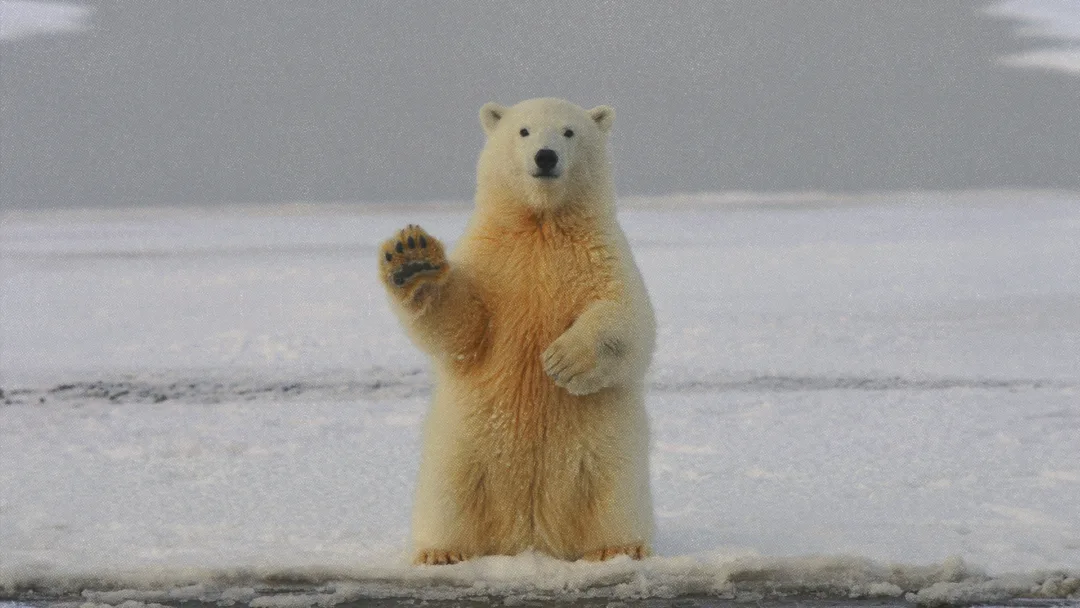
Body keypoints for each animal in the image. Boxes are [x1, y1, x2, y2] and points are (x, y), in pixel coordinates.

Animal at [380, 96, 656, 565]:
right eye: (523, 131)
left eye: (569, 131)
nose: (545, 157)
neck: (541, 223)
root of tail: (530, 535)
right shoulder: (493, 261)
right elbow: (464, 327)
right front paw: (412, 260)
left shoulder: (601, 256)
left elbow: (627, 317)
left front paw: (563, 360)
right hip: (462, 450)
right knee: (449, 497)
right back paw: (441, 552)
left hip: (607, 452)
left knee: (612, 494)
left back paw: (618, 547)